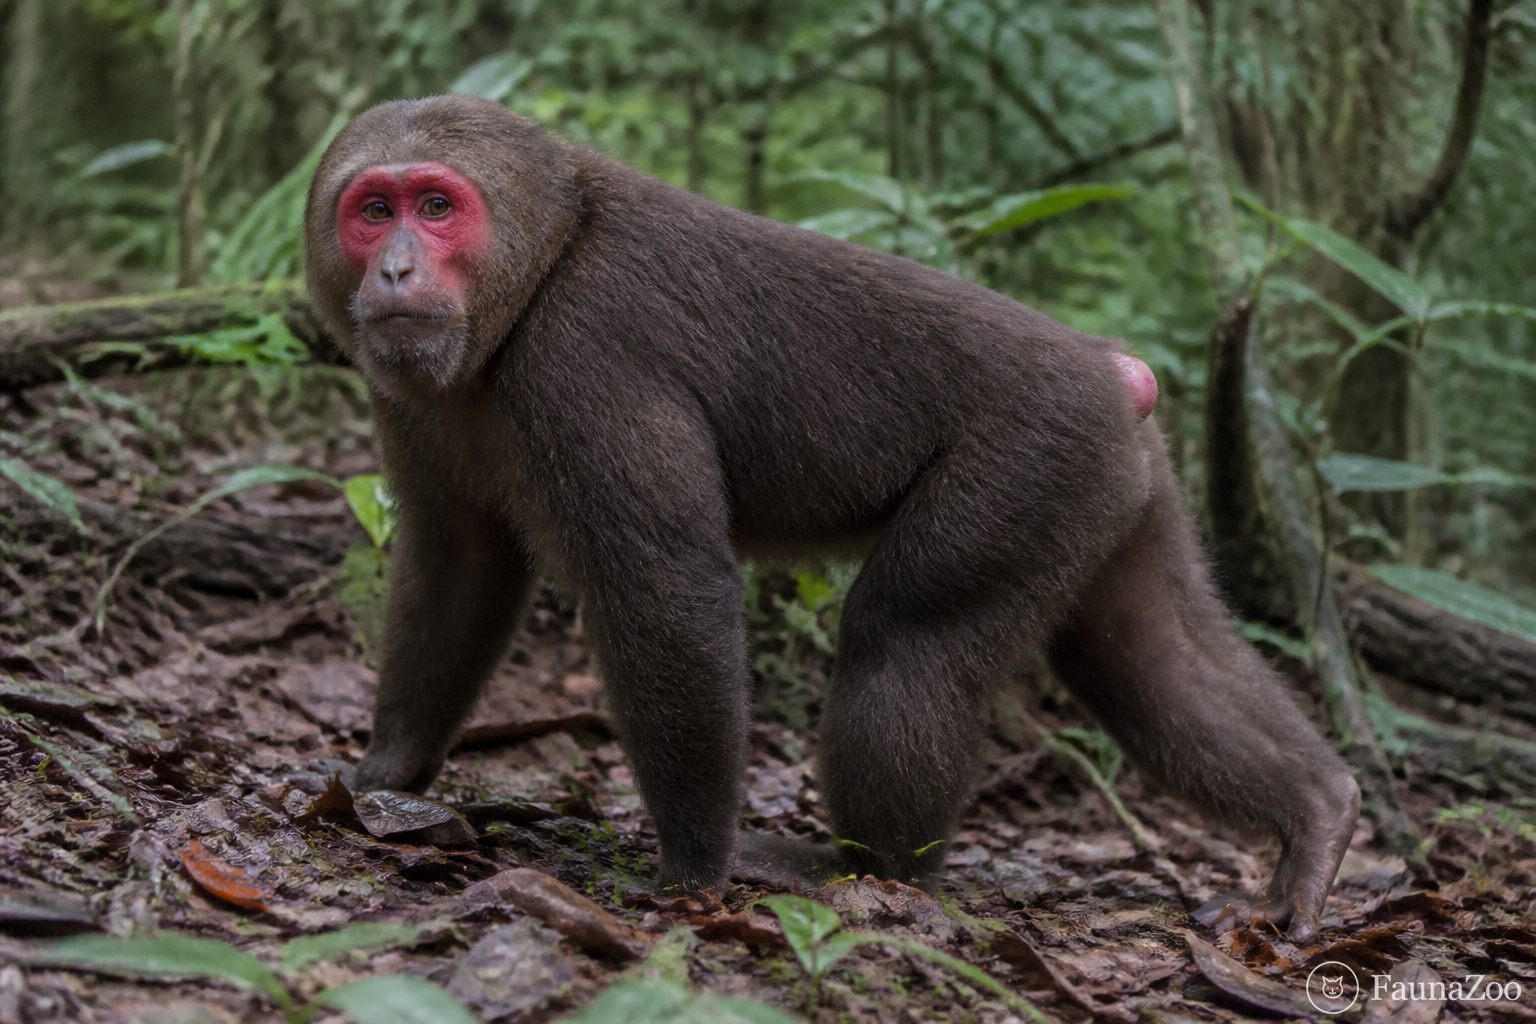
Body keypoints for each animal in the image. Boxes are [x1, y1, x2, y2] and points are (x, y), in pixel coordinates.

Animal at [303, 95, 1360, 942]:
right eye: (375, 211)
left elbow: (668, 582)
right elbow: (461, 561)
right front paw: (385, 775)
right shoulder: (414, 394)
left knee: (909, 634)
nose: (395, 272)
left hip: (1034, 460)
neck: (537, 274)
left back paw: (868, 870)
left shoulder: (589, 353)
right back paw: (1319, 813)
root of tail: (1112, 369)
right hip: (1114, 478)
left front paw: (692, 871)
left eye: (438, 208)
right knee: (1146, 660)